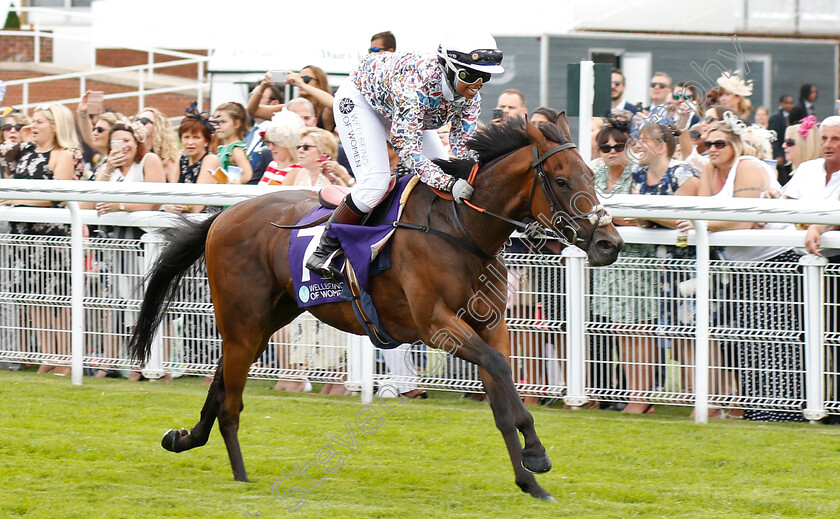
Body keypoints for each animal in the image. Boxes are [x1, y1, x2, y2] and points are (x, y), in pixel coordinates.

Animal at [126, 116, 624, 502]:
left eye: (592, 176)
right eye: (561, 180)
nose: (610, 243)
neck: (461, 228)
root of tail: (224, 216)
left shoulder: (489, 324)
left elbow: (502, 399)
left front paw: (530, 480)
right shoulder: (438, 327)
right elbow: (502, 373)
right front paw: (536, 456)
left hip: (266, 320)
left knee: (221, 384)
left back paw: (184, 439)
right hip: (243, 320)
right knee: (231, 400)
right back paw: (241, 475)